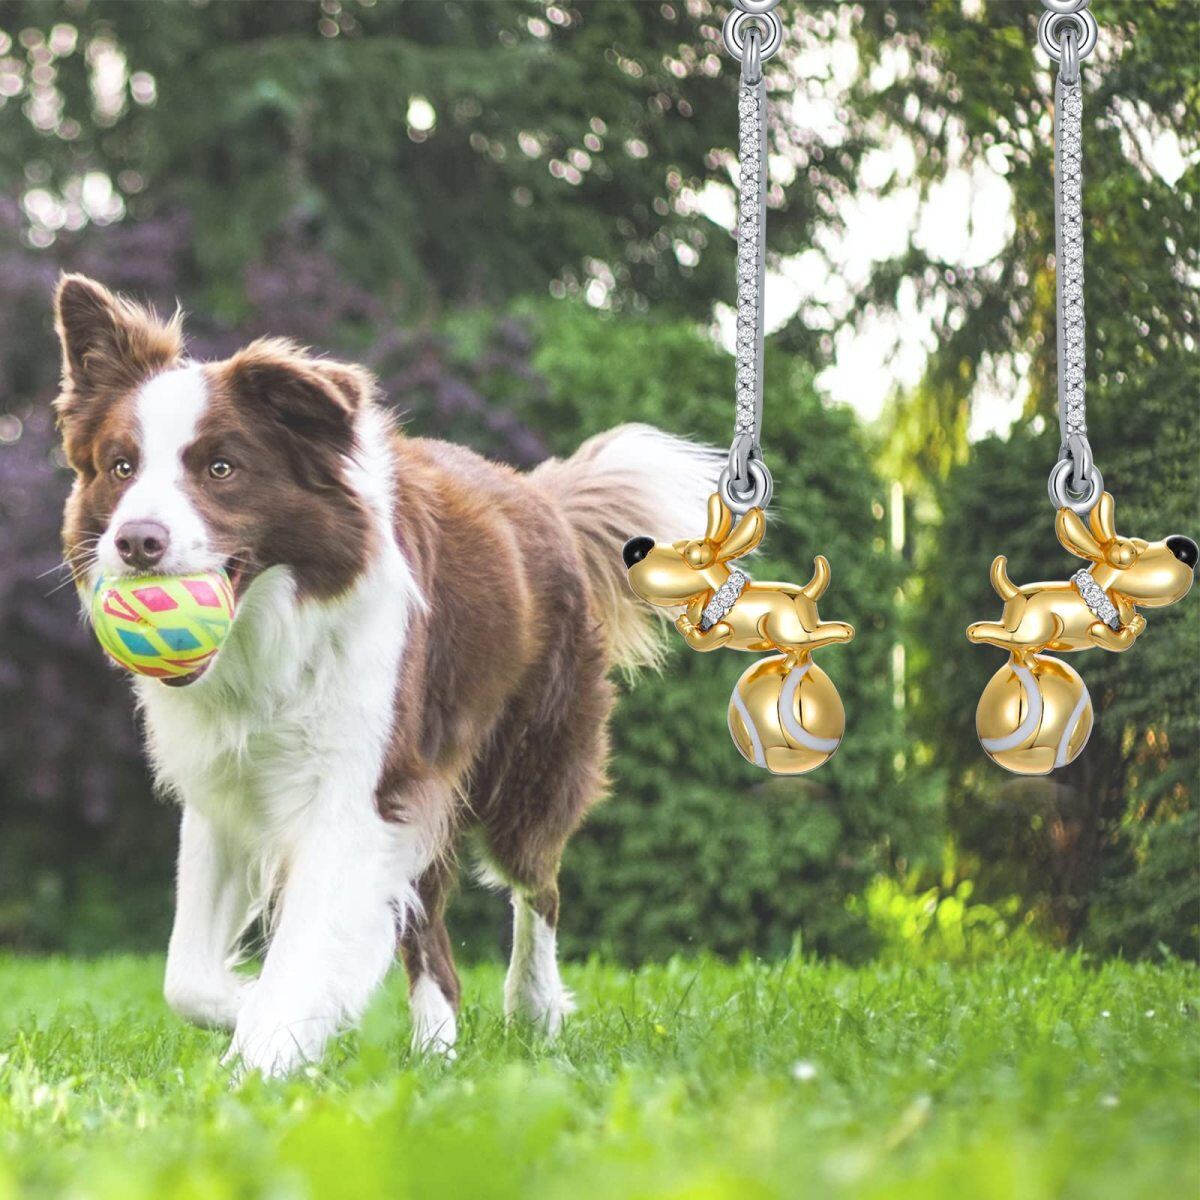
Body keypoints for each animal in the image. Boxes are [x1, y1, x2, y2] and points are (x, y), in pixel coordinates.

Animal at [51, 274, 715, 1080]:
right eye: (121, 467)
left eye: (221, 468)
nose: (136, 541)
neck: (269, 634)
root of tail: (541, 496)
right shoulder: (228, 789)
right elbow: (187, 977)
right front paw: (263, 1012)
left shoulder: (358, 787)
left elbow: (305, 945)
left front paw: (263, 1056)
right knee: (431, 933)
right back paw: (435, 1051)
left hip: (529, 762)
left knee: (538, 885)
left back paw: (534, 1008)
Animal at [969, 487, 1195, 662]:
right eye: (1129, 554)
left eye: (1139, 542)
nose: (1187, 549)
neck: (1100, 593)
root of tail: (1014, 593)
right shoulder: (1097, 632)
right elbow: (1115, 639)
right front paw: (1132, 626)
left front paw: (1136, 622)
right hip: (1032, 632)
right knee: (996, 635)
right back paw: (977, 632)